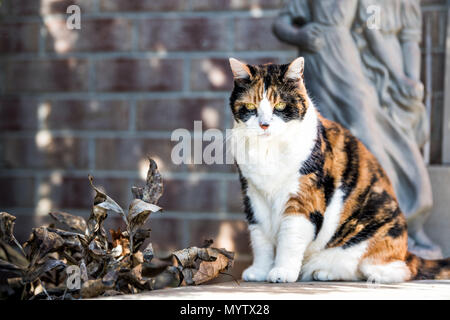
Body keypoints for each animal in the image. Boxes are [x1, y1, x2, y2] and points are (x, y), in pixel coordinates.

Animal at [230, 57, 450, 282]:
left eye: (280, 105)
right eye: (250, 106)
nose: (264, 125)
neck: (269, 151)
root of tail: (406, 251)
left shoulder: (304, 197)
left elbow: (290, 238)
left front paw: (282, 272)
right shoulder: (253, 196)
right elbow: (260, 239)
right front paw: (259, 271)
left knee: (397, 269)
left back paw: (372, 276)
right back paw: (323, 272)